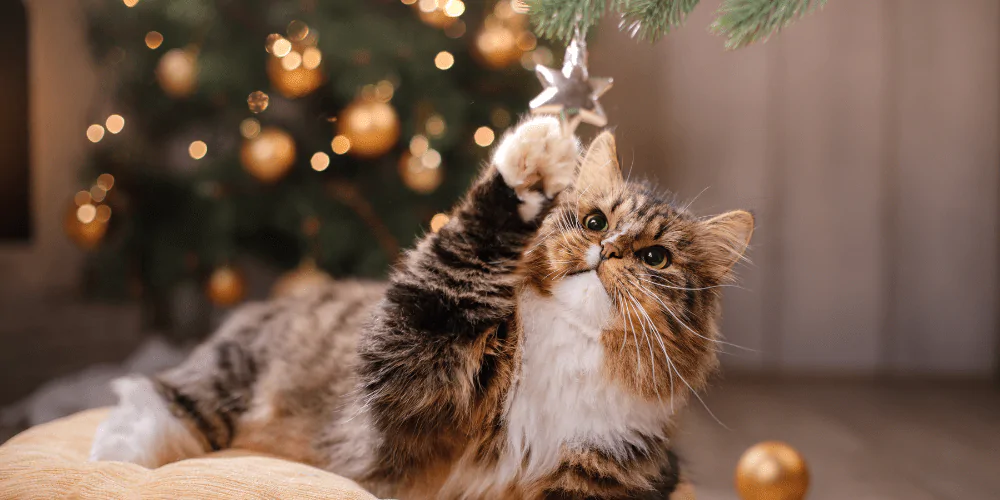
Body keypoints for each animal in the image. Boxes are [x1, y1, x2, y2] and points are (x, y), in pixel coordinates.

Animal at [92, 115, 752, 498]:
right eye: (594, 222)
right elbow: (459, 255)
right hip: (233, 373)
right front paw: (535, 161)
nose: (607, 251)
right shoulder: (409, 374)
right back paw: (117, 456)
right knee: (169, 399)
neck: (567, 351)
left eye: (655, 258)